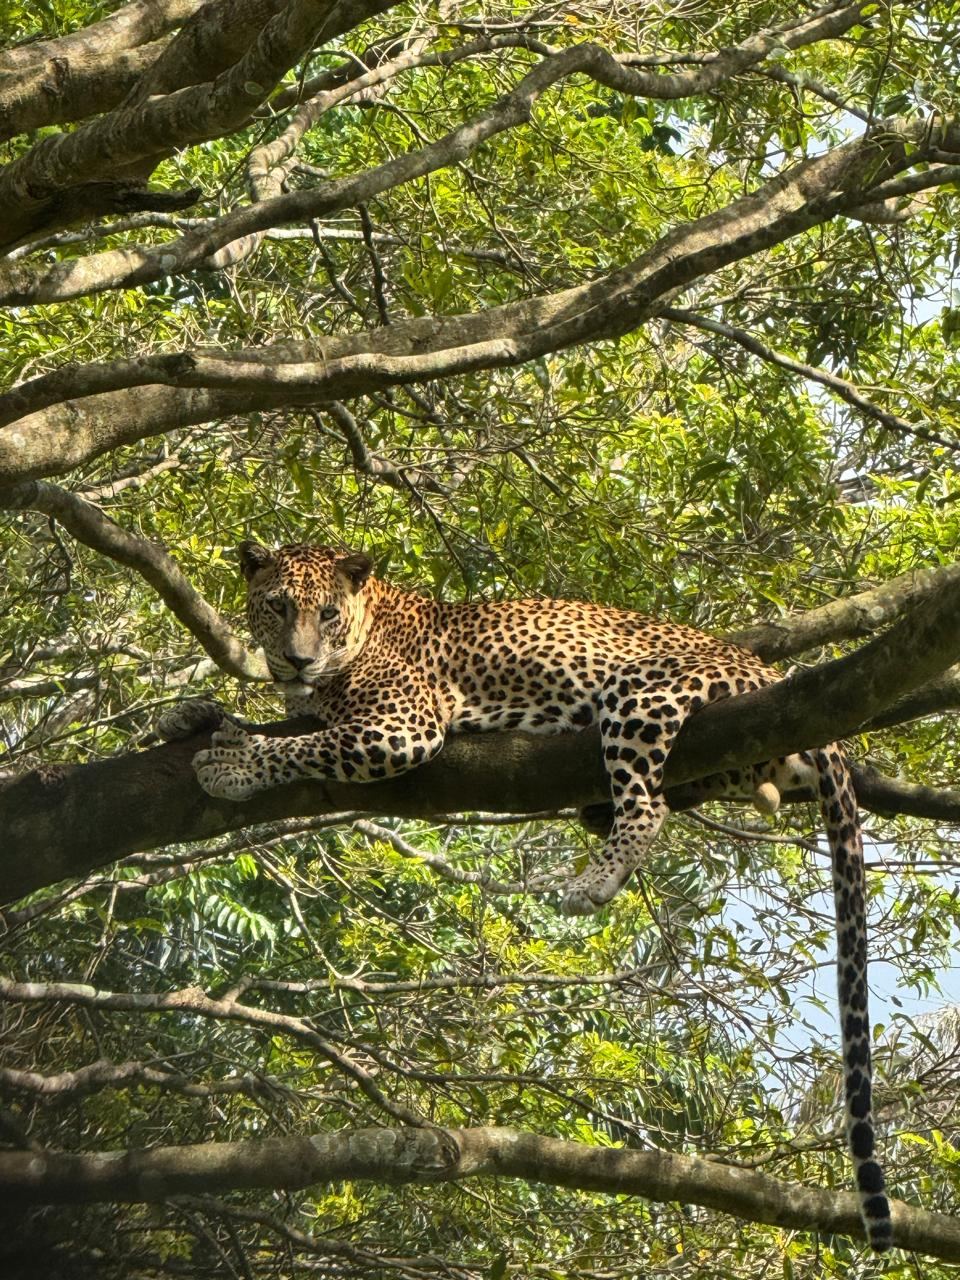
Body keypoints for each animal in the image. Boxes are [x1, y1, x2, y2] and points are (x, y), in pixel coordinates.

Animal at [161, 541, 892, 1251]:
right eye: (278, 607)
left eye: (328, 614)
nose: (298, 658)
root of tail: (764, 671)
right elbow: (282, 720)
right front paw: (193, 714)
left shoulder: (402, 724)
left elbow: (306, 746)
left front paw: (234, 763)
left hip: (640, 692)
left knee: (648, 803)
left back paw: (594, 881)